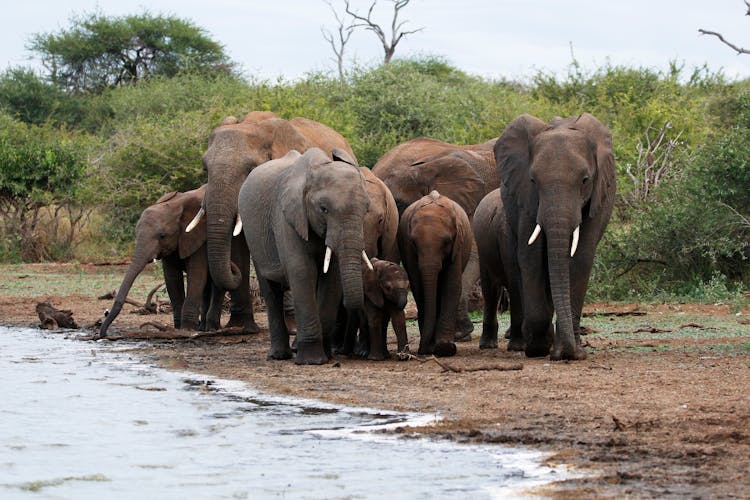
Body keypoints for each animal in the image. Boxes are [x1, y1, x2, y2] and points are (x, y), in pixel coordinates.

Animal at [97, 186, 220, 338]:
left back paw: (210, 328)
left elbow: (196, 274)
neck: (176, 204)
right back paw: (203, 328)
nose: (104, 334)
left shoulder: (198, 237)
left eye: (162, 236)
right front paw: (178, 328)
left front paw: (187, 329)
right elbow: (172, 278)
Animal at [239, 147, 372, 364]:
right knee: (271, 292)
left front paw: (325, 357)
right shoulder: (287, 218)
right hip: (254, 238)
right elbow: (302, 271)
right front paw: (311, 361)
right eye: (323, 209)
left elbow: (332, 277)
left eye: (366, 209)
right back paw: (279, 355)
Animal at [396, 189, 472, 358]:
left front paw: (445, 348)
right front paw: (433, 348)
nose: (422, 350)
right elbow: (418, 286)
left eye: (447, 242)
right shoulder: (408, 248)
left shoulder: (457, 245)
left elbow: (452, 285)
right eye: (414, 242)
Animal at [494, 115, 616, 362]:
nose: (571, 353)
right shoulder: (526, 199)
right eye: (532, 180)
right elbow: (530, 257)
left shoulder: (597, 199)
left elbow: (581, 258)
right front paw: (538, 348)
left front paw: (569, 352)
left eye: (585, 180)